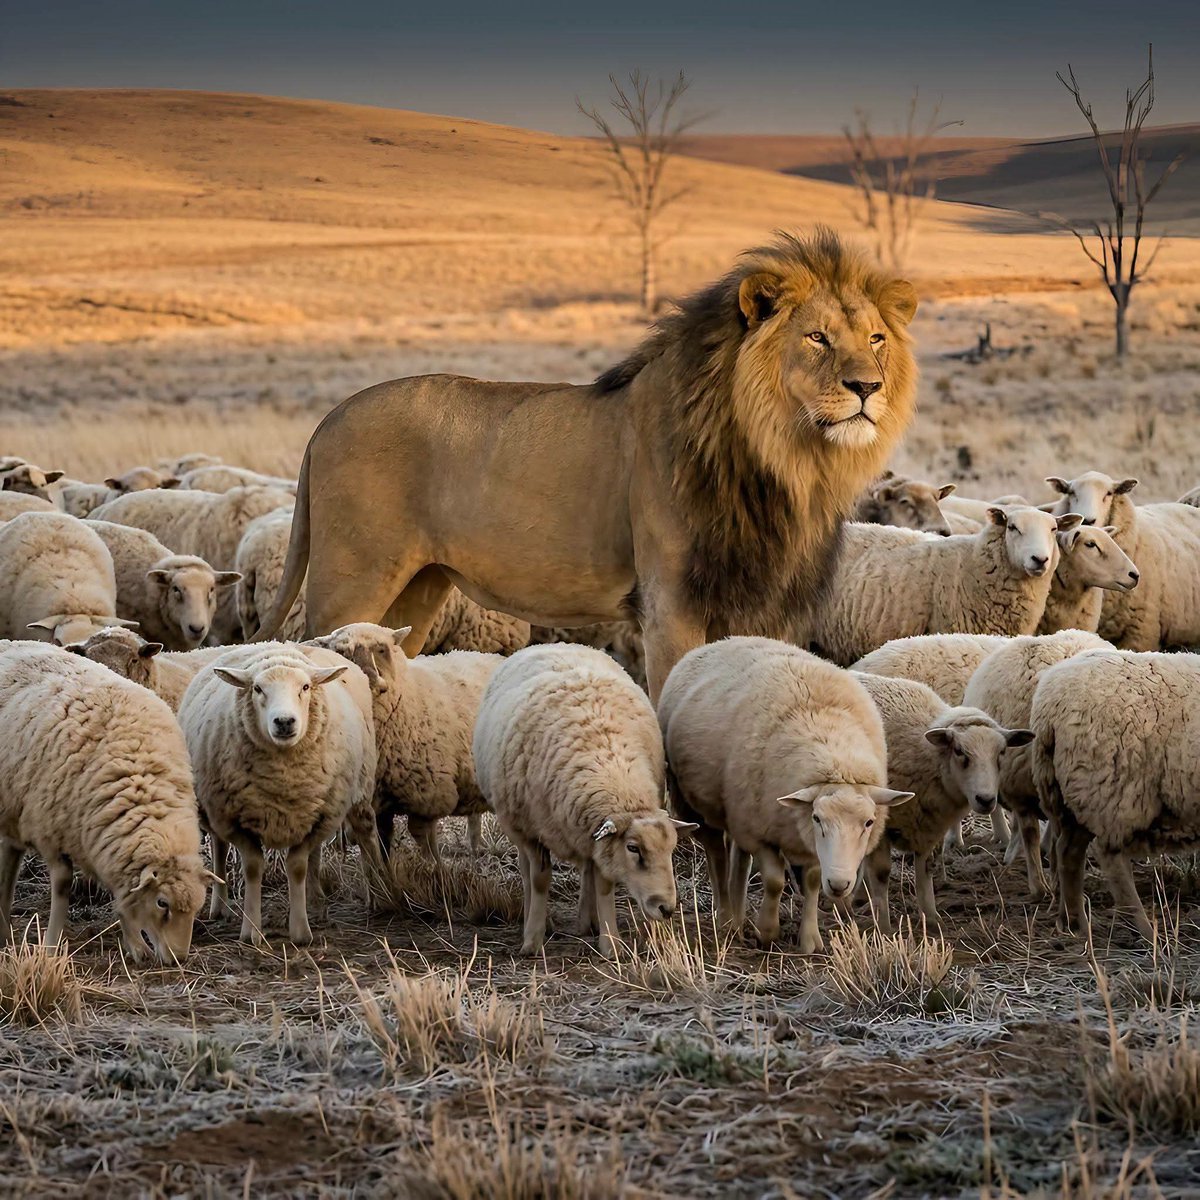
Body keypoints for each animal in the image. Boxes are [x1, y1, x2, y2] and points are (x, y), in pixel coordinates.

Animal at [255, 228, 919, 699]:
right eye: (817, 338)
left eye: (876, 339)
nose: (867, 386)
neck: (787, 461)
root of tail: (329, 419)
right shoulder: (670, 603)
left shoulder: (765, 605)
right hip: (350, 582)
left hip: (414, 595)